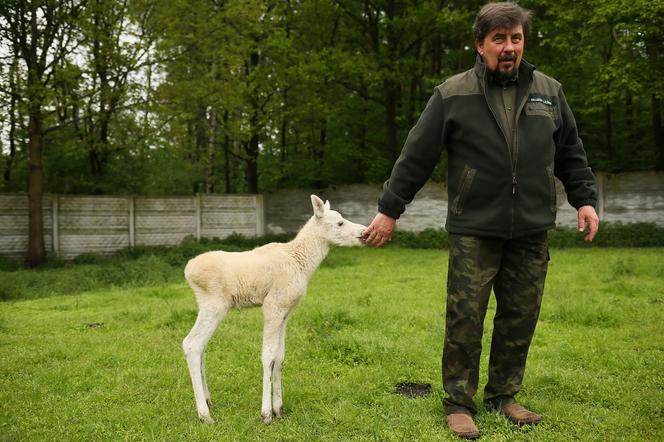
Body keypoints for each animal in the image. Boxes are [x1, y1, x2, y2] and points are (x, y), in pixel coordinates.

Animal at [182, 195, 366, 424]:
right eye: (340, 223)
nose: (364, 233)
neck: (303, 264)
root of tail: (188, 272)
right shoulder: (273, 305)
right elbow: (267, 356)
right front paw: (266, 413)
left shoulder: (286, 310)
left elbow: (279, 356)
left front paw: (279, 408)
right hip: (214, 304)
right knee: (191, 344)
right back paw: (204, 414)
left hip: (207, 305)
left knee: (201, 347)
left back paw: (208, 402)